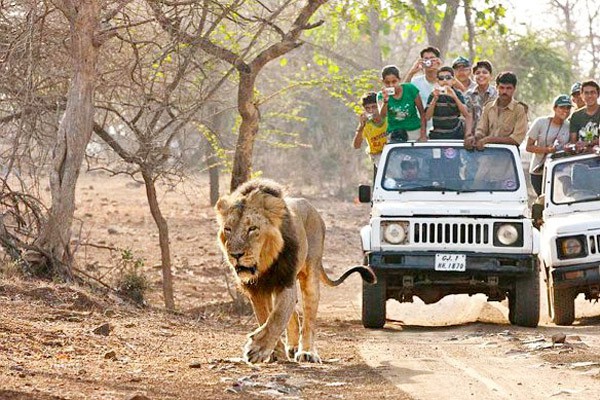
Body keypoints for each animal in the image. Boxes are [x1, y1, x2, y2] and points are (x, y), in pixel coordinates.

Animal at [216, 178, 376, 362]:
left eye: (252, 229)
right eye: (228, 229)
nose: (235, 255)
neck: (265, 264)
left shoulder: (285, 280)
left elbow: (277, 317)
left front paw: (257, 349)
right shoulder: (256, 289)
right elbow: (265, 317)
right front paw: (274, 351)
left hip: (310, 274)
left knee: (308, 318)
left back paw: (306, 352)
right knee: (292, 313)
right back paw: (291, 347)